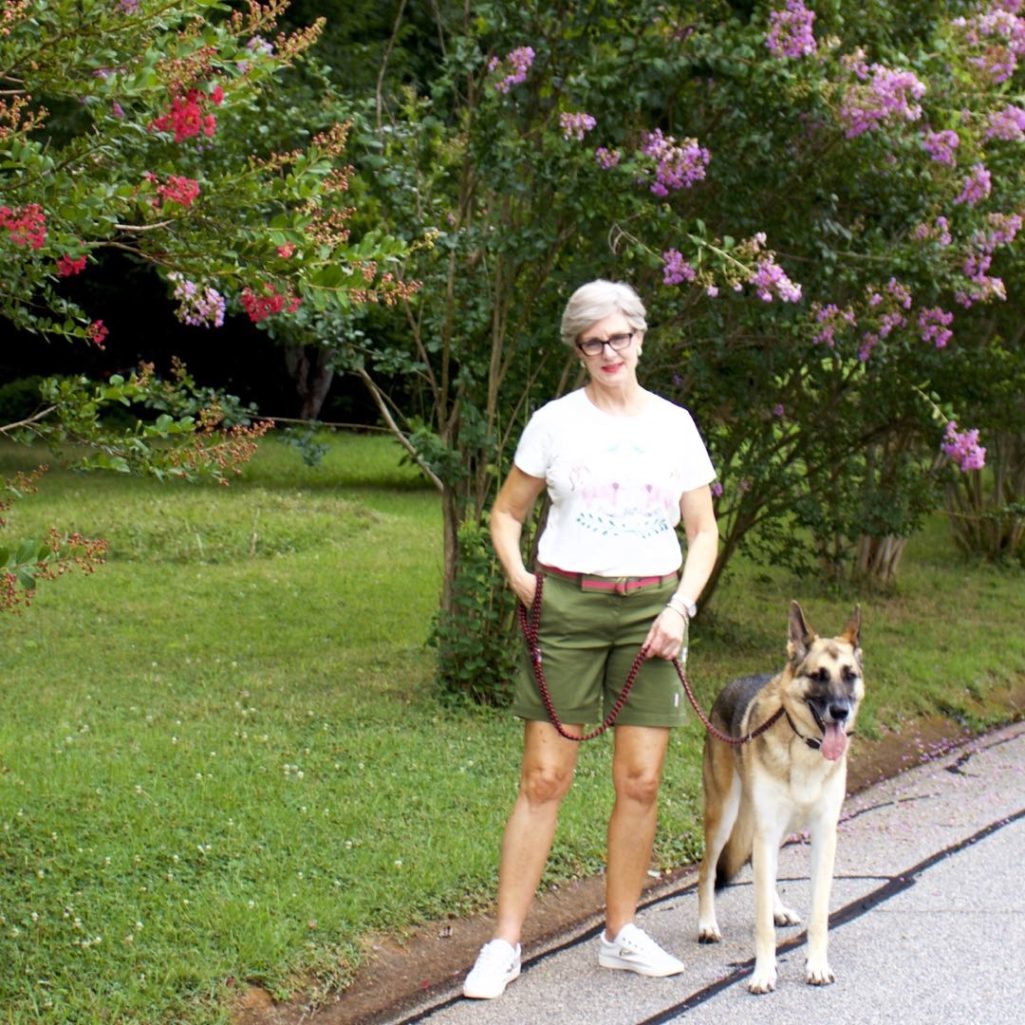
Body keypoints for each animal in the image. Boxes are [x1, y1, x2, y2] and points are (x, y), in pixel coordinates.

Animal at [701, 598, 861, 992]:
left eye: (849, 674)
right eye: (818, 675)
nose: (840, 711)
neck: (804, 747)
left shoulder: (823, 837)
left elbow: (819, 914)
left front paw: (817, 965)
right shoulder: (766, 830)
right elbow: (762, 927)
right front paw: (763, 972)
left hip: (775, 830)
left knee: (760, 868)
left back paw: (776, 908)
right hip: (723, 817)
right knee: (707, 870)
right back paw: (707, 924)